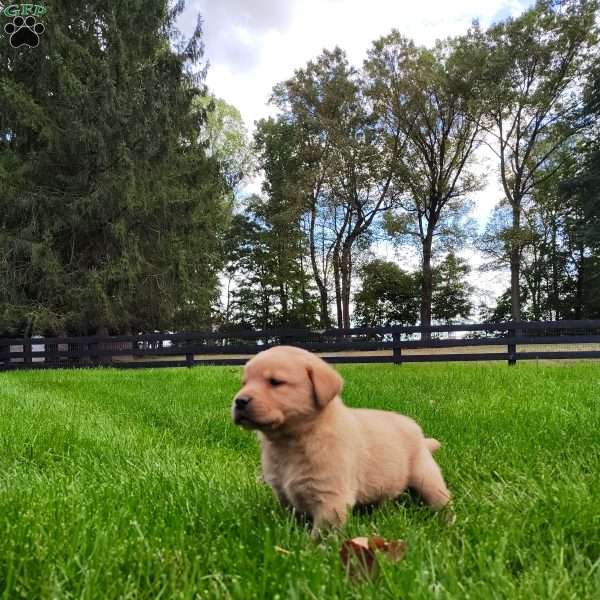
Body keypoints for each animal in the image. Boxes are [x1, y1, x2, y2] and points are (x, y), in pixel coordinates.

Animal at [232, 346, 448, 536]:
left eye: (276, 382)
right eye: (244, 383)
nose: (239, 401)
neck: (292, 440)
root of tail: (419, 434)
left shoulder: (330, 499)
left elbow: (321, 536)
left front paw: (312, 551)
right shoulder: (283, 495)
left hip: (426, 476)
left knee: (442, 499)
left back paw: (447, 521)